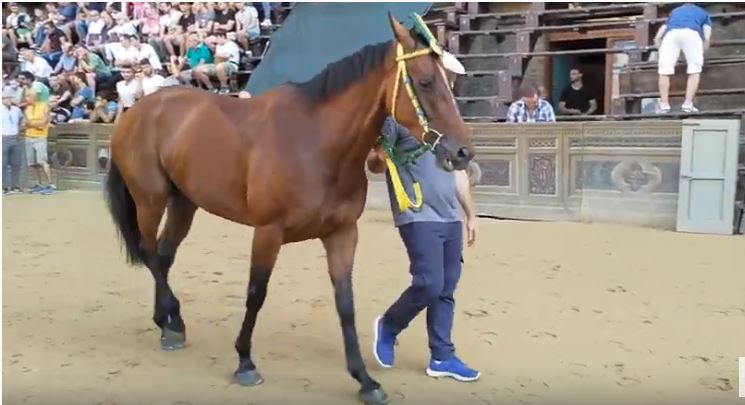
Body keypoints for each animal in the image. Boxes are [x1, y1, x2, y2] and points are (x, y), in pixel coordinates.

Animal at [103, 13, 475, 404]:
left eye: (449, 82)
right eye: (426, 82)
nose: (463, 152)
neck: (315, 142)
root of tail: (135, 110)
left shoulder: (342, 234)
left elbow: (345, 303)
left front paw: (364, 380)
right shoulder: (268, 232)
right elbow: (256, 294)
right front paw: (245, 362)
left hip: (184, 204)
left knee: (163, 256)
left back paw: (169, 323)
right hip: (150, 199)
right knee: (150, 253)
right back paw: (171, 321)